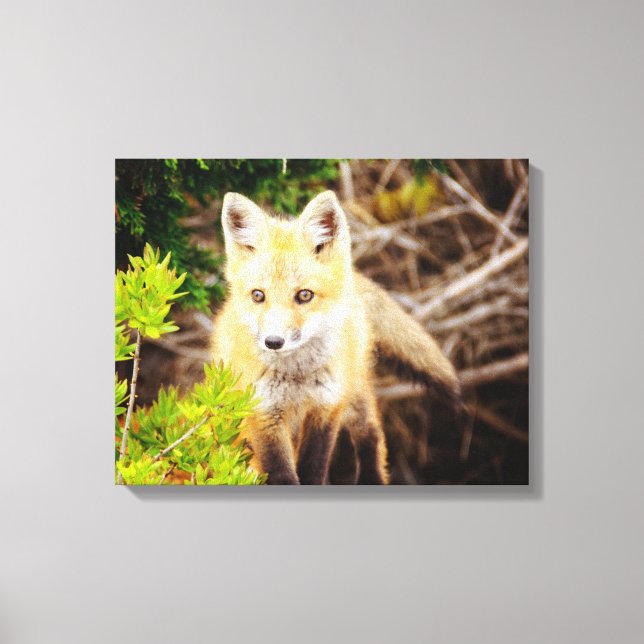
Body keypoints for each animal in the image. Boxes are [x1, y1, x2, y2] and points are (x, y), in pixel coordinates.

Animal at [211, 190, 461, 485]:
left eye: (304, 295)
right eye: (258, 295)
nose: (273, 342)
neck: (297, 378)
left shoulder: (326, 408)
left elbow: (313, 467)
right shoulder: (263, 415)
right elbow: (281, 471)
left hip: (354, 394)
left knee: (371, 435)